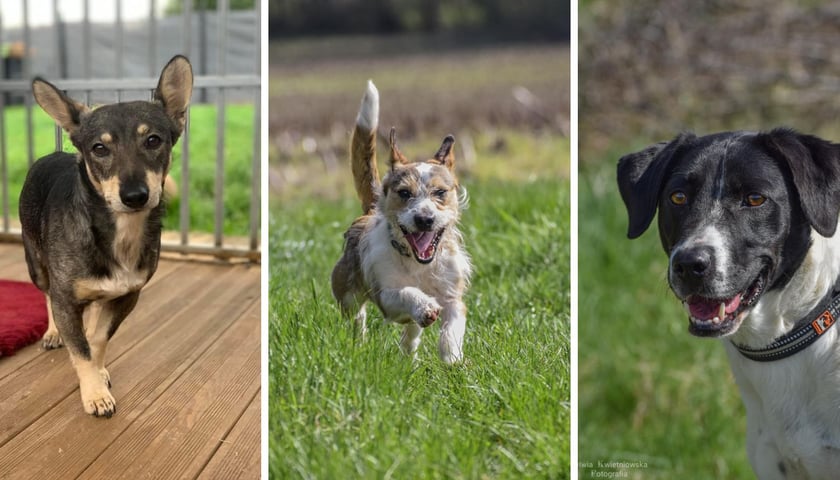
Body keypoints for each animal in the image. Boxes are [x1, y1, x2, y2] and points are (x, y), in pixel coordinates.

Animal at [20, 55, 194, 416]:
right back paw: (54, 332)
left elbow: (97, 340)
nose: (135, 196)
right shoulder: (66, 298)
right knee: (47, 294)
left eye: (153, 140)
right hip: (37, 265)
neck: (118, 232)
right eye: (99, 148)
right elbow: (81, 348)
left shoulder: (127, 295)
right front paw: (94, 395)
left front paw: (97, 374)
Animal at [330, 80, 472, 364]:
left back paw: (409, 356)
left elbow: (451, 328)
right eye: (404, 193)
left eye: (440, 192)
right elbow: (405, 293)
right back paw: (359, 344)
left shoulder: (453, 297)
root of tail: (369, 210)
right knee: (358, 317)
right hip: (347, 293)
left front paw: (452, 359)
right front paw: (424, 305)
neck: (418, 264)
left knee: (412, 332)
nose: (425, 219)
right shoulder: (386, 296)